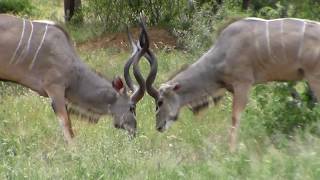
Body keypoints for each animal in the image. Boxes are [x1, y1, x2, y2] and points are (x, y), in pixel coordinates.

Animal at [146, 17, 320, 151]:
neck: (221, 54)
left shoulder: (243, 83)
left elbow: (235, 117)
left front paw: (231, 150)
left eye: (160, 102)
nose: (159, 127)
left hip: (314, 77)